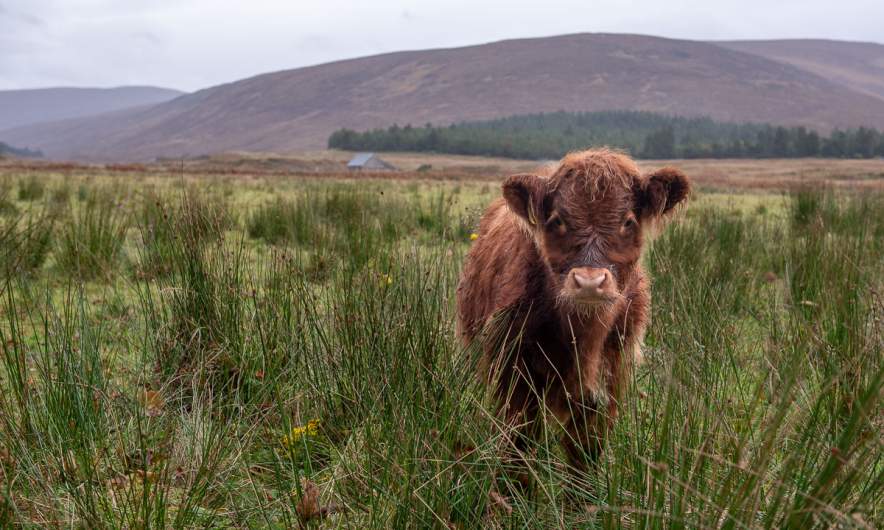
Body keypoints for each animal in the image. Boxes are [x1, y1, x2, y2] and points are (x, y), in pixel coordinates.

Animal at [456, 148, 690, 472]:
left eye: (628, 221)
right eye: (557, 220)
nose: (589, 282)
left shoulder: (608, 382)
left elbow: (584, 456)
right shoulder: (514, 374)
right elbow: (518, 449)